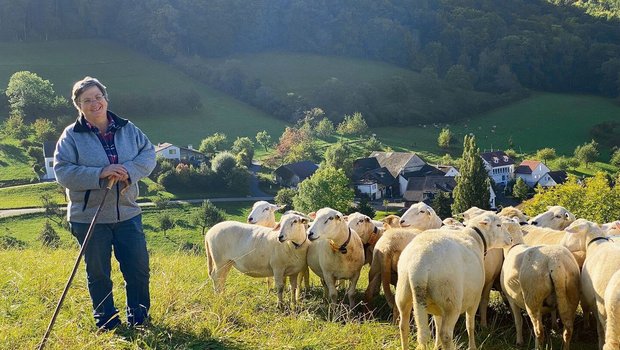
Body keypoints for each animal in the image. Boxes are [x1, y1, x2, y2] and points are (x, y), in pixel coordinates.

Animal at [394, 212, 512, 348]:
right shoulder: (475, 298)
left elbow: (437, 324)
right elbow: (470, 325)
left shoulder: (437, 307)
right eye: (499, 225)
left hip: (404, 295)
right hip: (451, 300)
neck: (475, 237)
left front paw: (436, 347)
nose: (510, 239)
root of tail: (419, 266)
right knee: (445, 334)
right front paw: (472, 346)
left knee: (404, 327)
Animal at [498, 217, 580, 348]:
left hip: (533, 297)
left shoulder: (511, 299)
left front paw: (519, 341)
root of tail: (555, 263)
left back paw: (537, 347)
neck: (513, 246)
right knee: (568, 329)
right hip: (572, 294)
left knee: (539, 331)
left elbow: (518, 321)